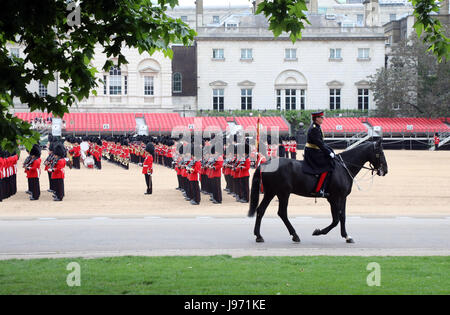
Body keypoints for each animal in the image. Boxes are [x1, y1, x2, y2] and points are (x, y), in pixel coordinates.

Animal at [248, 139, 388, 246]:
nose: (385, 170)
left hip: (271, 193)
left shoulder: (342, 198)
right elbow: (336, 220)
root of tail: (266, 163)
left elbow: (342, 217)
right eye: (380, 153)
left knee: (261, 210)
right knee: (282, 213)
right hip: (283, 194)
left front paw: (346, 236)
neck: (343, 167)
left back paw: (259, 235)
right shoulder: (335, 198)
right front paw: (319, 231)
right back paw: (295, 235)